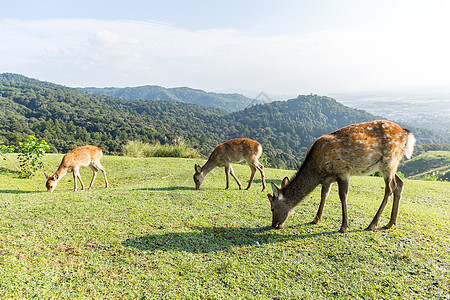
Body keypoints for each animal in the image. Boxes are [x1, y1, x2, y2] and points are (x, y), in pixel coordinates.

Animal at [268, 120, 416, 233]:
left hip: (389, 160)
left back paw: (372, 224)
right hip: (392, 163)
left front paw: (344, 226)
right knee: (400, 184)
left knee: (390, 188)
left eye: (272, 208)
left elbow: (343, 196)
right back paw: (391, 223)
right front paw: (316, 219)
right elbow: (324, 195)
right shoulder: (327, 180)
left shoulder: (343, 170)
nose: (274, 224)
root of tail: (406, 133)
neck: (317, 171)